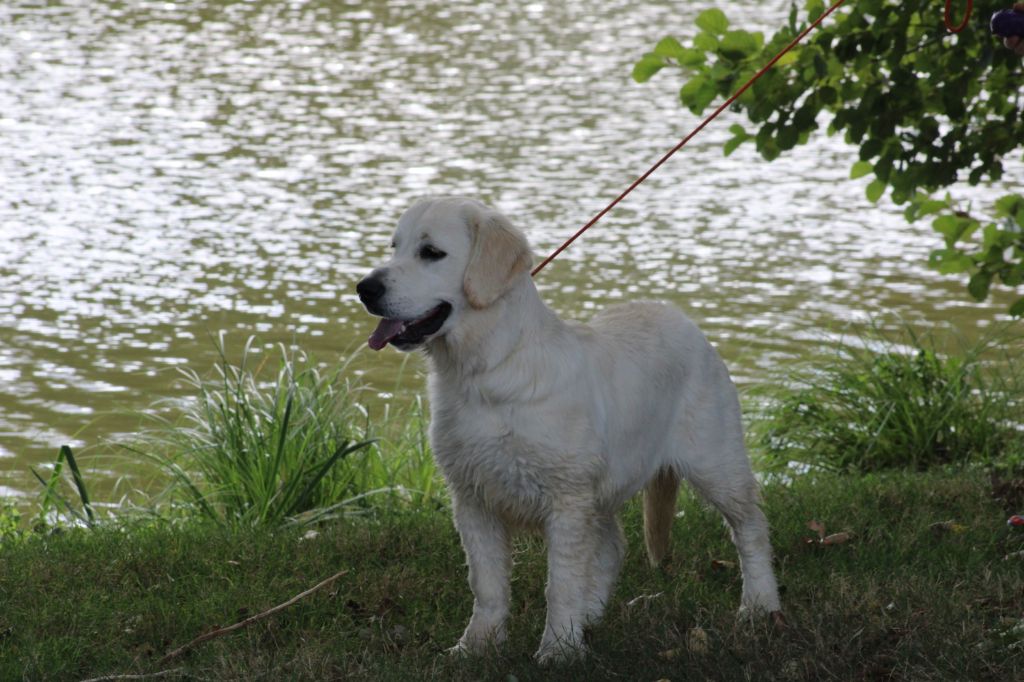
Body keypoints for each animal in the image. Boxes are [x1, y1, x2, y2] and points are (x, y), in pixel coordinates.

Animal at [356, 195, 778, 659]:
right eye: (394, 247)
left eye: (431, 252)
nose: (364, 288)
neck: (488, 369)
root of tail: (683, 320)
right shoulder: (473, 498)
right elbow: (487, 585)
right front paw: (477, 645)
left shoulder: (567, 499)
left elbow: (560, 583)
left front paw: (558, 649)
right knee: (613, 546)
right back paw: (590, 616)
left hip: (716, 463)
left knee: (751, 529)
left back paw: (760, 605)